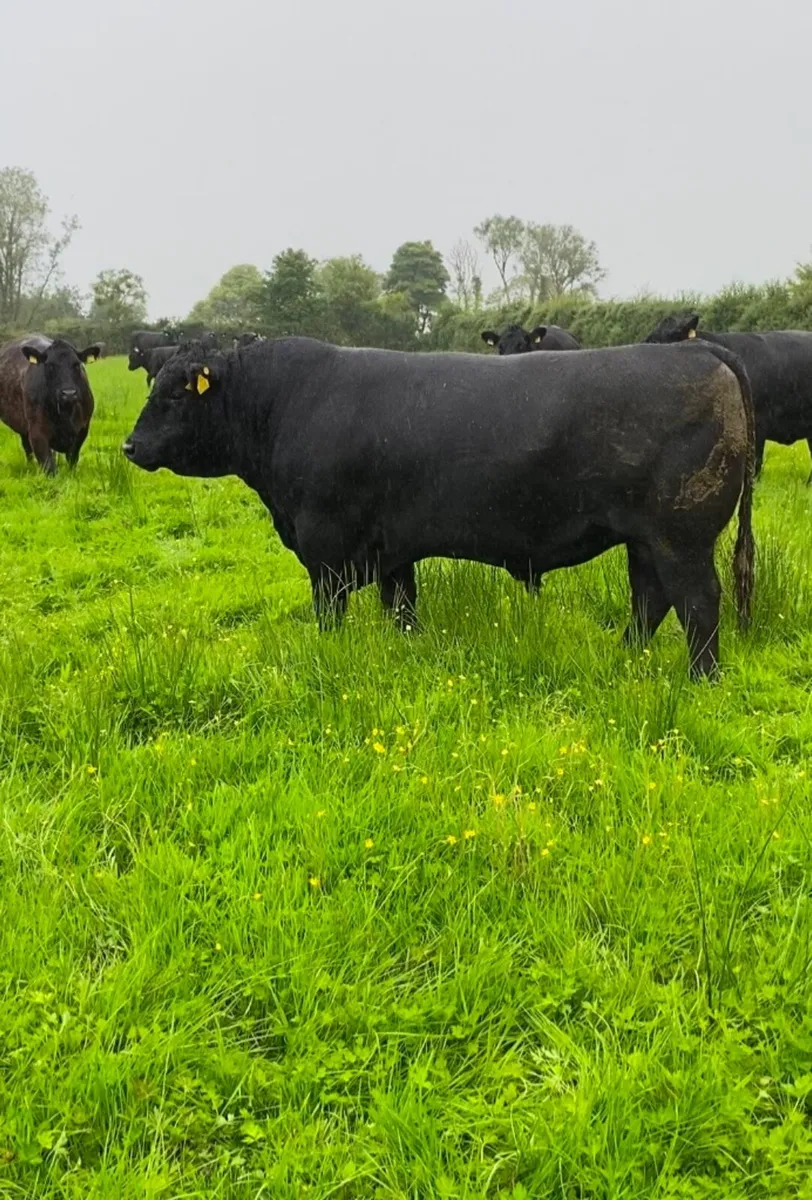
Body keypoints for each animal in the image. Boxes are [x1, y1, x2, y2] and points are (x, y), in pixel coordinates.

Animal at [0, 335, 100, 473]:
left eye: (76, 365)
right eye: (50, 365)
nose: (69, 393)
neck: (65, 413)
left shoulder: (82, 429)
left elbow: (72, 458)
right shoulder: (37, 432)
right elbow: (48, 466)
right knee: (28, 449)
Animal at [122, 337, 755, 678]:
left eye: (176, 392)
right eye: (153, 383)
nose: (130, 446)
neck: (285, 402)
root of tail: (701, 347)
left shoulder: (325, 545)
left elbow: (329, 613)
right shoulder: (392, 548)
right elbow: (402, 609)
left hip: (680, 537)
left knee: (698, 602)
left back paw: (701, 680)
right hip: (645, 538)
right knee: (650, 600)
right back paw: (622, 658)